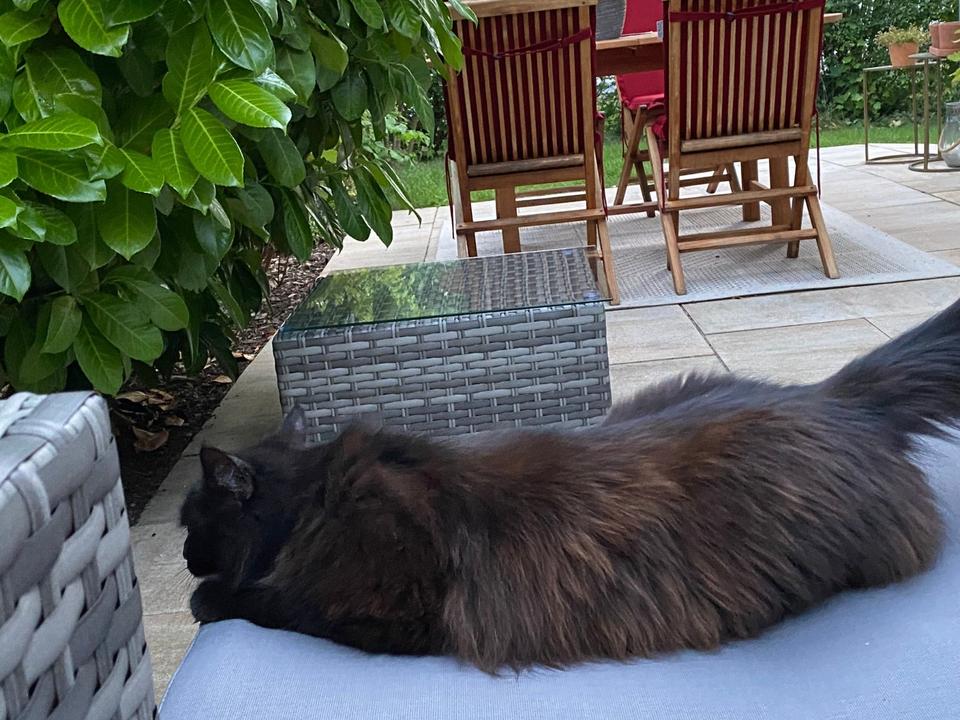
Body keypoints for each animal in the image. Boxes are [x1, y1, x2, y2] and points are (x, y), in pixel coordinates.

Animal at [181, 296, 960, 671]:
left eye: (190, 523)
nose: (184, 555)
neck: (312, 500)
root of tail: (833, 394)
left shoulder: (386, 608)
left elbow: (276, 602)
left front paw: (208, 595)